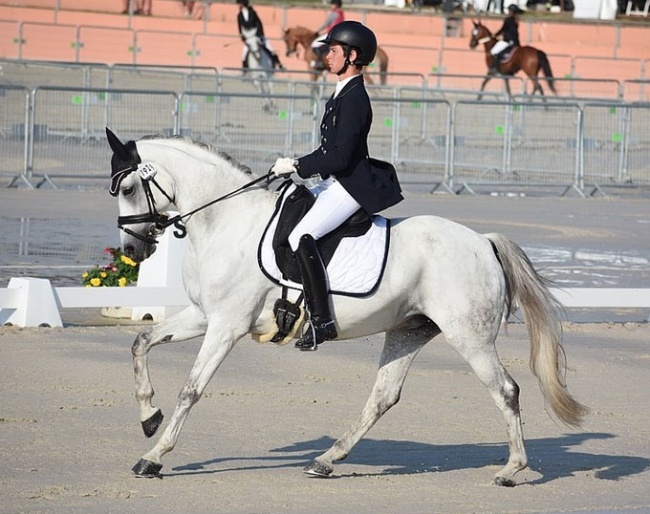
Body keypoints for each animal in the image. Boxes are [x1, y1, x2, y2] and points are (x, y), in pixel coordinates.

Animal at [106, 127, 588, 484]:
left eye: (128, 187)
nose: (131, 250)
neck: (227, 221)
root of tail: (484, 242)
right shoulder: (205, 315)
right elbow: (141, 341)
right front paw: (149, 417)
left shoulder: (227, 324)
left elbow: (191, 389)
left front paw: (154, 456)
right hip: (409, 329)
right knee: (383, 396)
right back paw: (325, 460)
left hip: (469, 336)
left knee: (505, 390)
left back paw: (511, 470)